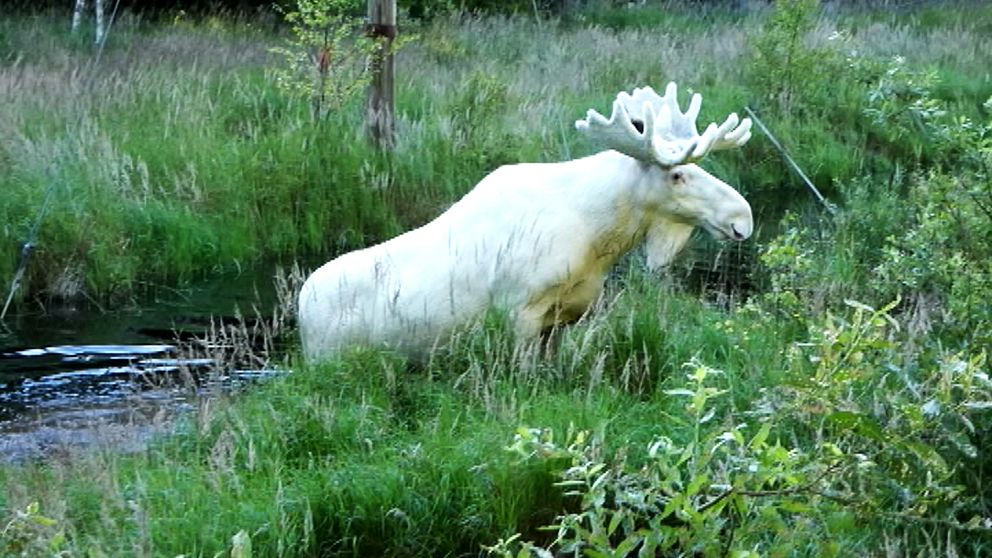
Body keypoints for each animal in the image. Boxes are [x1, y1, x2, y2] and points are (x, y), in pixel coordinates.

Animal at [300, 83, 752, 364]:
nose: (742, 218)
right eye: (677, 175)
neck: (600, 237)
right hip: (330, 360)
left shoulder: (564, 317)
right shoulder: (519, 311)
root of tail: (299, 309)